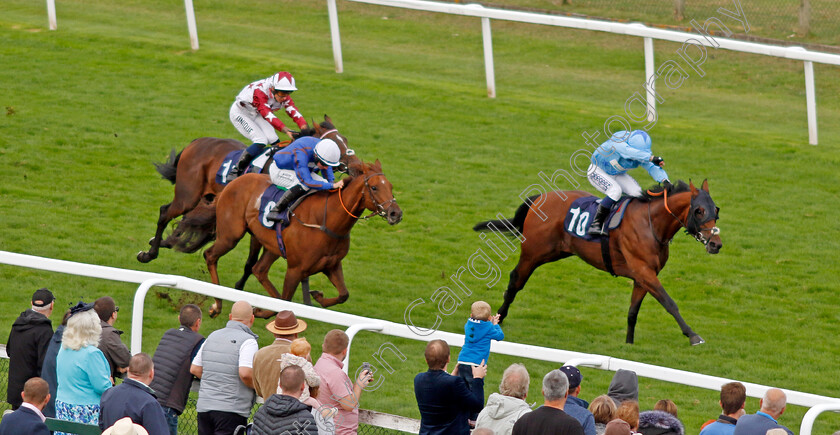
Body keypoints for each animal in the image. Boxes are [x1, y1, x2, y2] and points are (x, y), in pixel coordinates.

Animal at [136, 116, 352, 264]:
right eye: (335, 144)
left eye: (346, 140)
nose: (353, 166)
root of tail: (197, 141)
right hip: (188, 195)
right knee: (167, 212)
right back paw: (149, 254)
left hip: (205, 196)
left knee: (185, 218)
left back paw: (161, 242)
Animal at [180, 160, 400, 316]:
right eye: (374, 188)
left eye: (390, 186)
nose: (396, 213)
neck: (327, 222)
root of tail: (233, 182)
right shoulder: (295, 269)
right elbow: (286, 301)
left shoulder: (331, 265)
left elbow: (343, 294)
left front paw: (317, 296)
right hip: (230, 235)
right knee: (210, 256)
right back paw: (217, 303)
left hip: (271, 245)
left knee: (259, 270)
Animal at [472, 179, 720, 346]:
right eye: (699, 211)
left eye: (716, 210)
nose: (716, 244)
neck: (651, 224)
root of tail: (541, 197)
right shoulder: (644, 271)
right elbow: (669, 302)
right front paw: (693, 335)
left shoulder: (644, 276)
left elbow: (633, 311)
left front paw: (628, 344)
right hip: (533, 253)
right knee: (516, 280)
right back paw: (499, 318)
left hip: (555, 252)